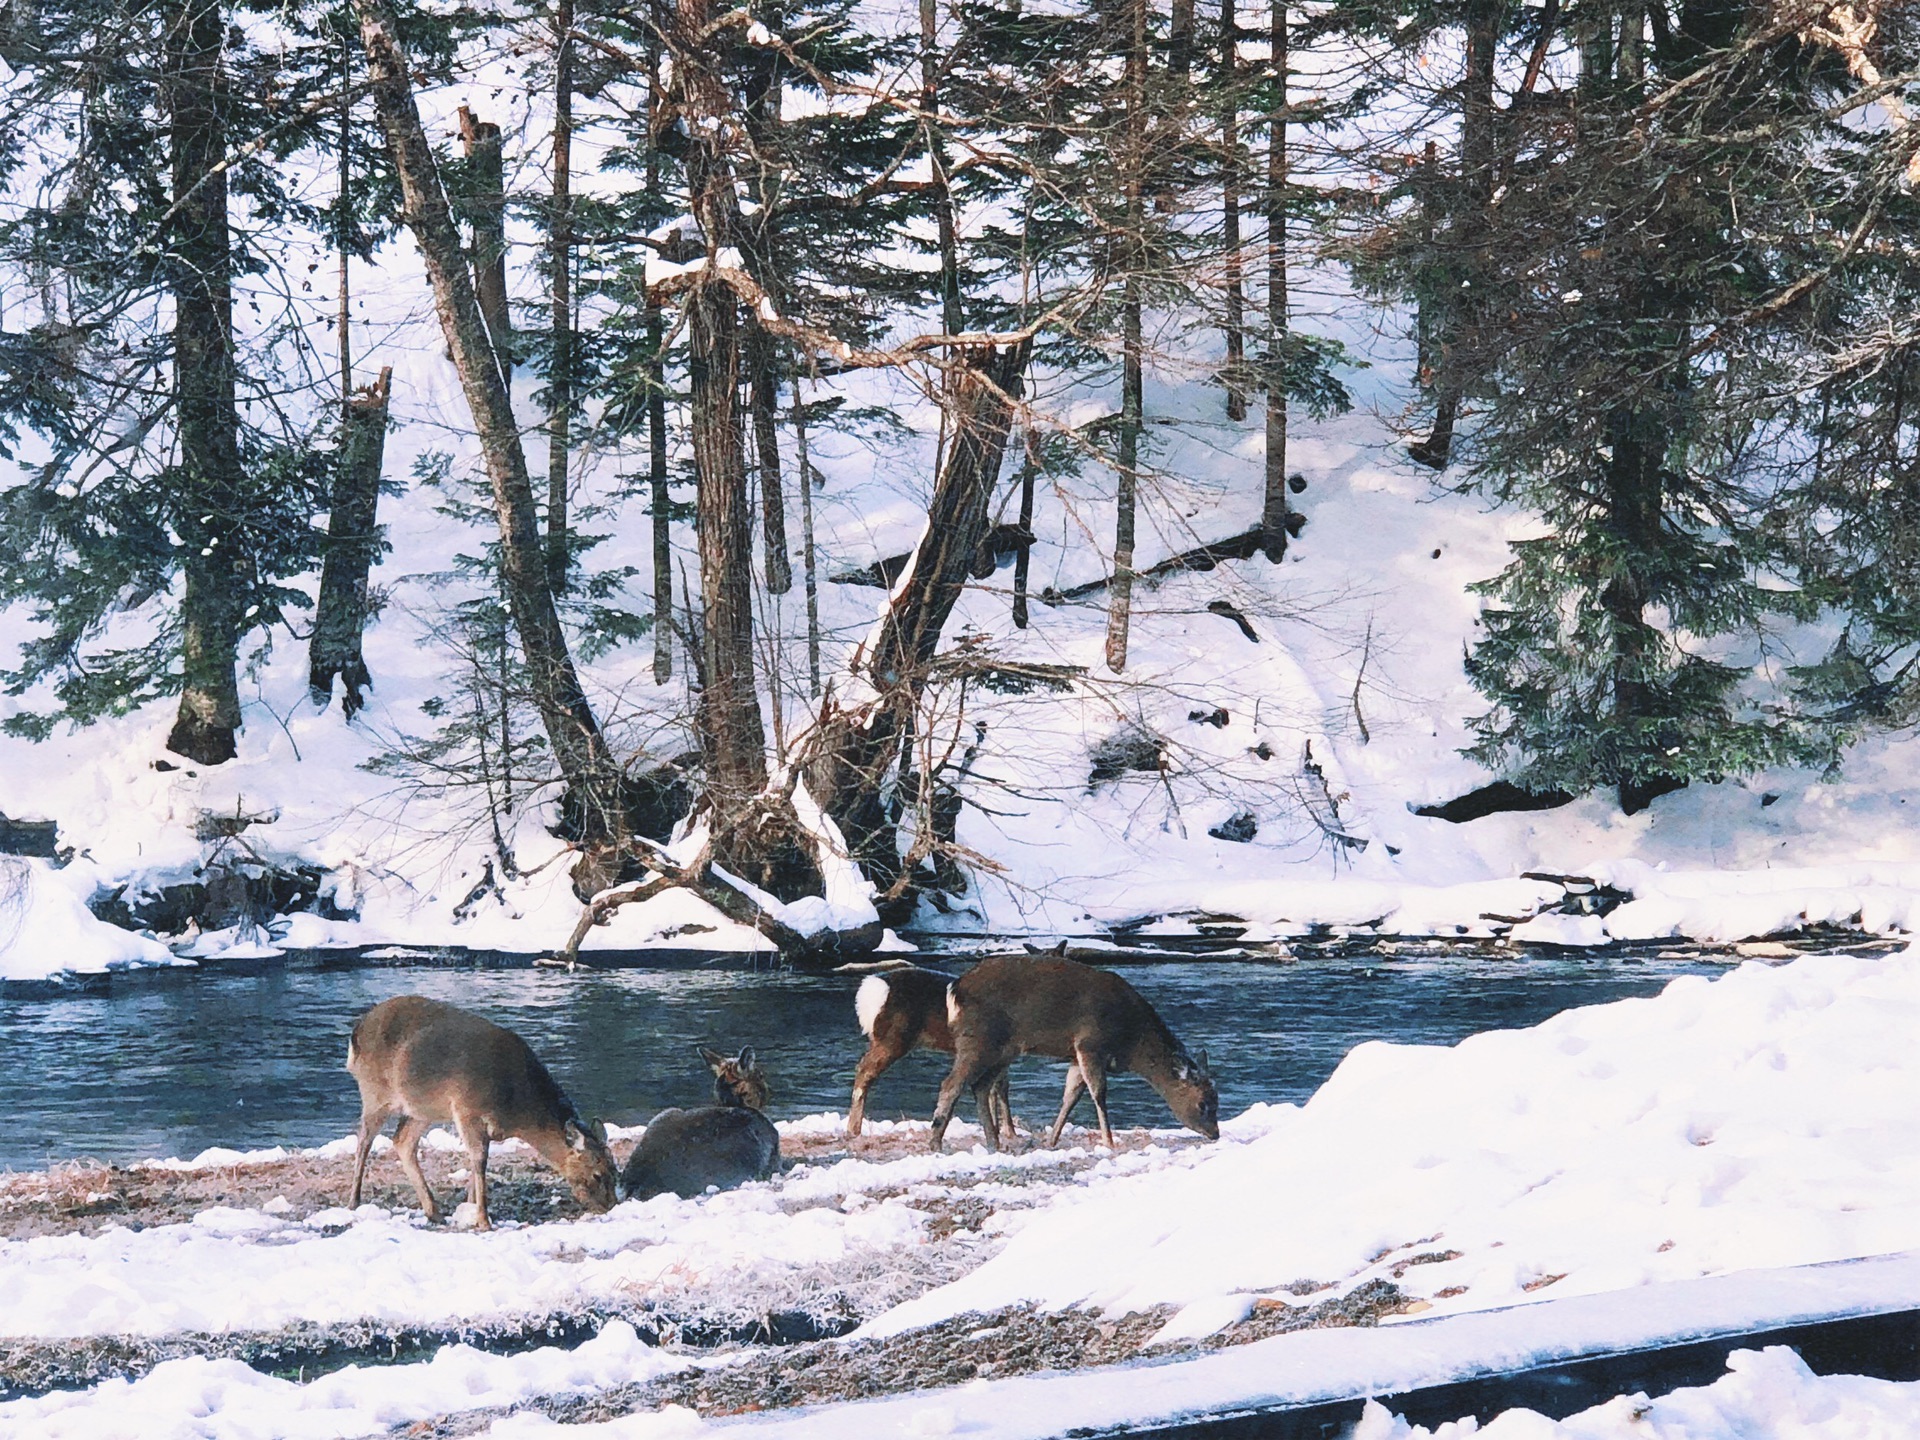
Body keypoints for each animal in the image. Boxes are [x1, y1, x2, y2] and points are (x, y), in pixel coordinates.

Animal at [345, 1006, 614, 1228]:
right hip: (375, 1092)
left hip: (422, 1109)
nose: (610, 1206)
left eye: (615, 1169)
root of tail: (356, 1032)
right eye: (597, 1174)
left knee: (402, 1140)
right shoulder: (467, 1108)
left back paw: (434, 1211)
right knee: (364, 1139)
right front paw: (483, 1220)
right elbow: (479, 1160)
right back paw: (353, 1202)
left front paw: (467, 1209)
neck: (517, 1110)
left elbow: (478, 1162)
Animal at [925, 963, 1213, 1159]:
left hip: (1003, 1049)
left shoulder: (1076, 1055)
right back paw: (936, 1142)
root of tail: (955, 989)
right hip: (978, 1040)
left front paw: (1052, 1140)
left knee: (980, 1086)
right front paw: (1109, 1142)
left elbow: (1071, 1096)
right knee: (951, 1084)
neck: (1130, 1041)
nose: (1215, 1133)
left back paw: (993, 1142)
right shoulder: (1089, 1043)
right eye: (1203, 1104)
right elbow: (1098, 1093)